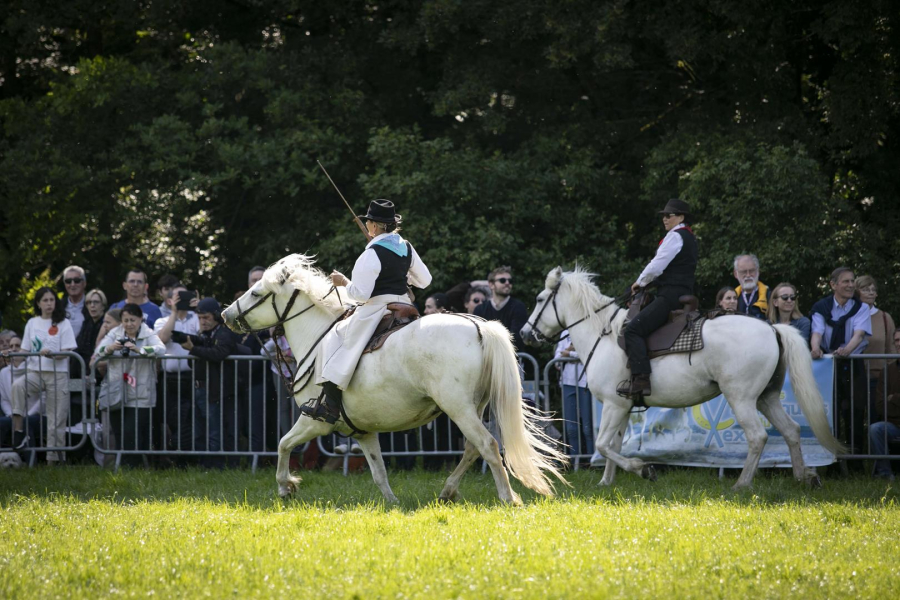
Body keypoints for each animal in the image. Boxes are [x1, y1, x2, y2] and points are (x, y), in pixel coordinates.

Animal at [221, 255, 568, 504]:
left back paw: (507, 498)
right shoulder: (363, 431)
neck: (319, 338)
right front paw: (391, 503)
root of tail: (481, 327)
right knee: (473, 448)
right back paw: (447, 491)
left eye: (256, 292)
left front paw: (285, 487)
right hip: (475, 406)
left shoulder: (314, 422)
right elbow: (378, 471)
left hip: (458, 408)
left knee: (488, 445)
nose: (226, 315)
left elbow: (283, 444)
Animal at [520, 266, 844, 488]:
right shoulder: (623, 407)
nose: (524, 333)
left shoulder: (613, 405)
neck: (604, 334)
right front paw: (606, 483)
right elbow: (612, 446)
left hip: (742, 398)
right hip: (767, 397)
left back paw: (742, 484)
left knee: (758, 436)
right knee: (791, 430)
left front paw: (643, 469)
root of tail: (772, 328)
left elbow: (601, 445)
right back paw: (804, 476)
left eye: (539, 298)